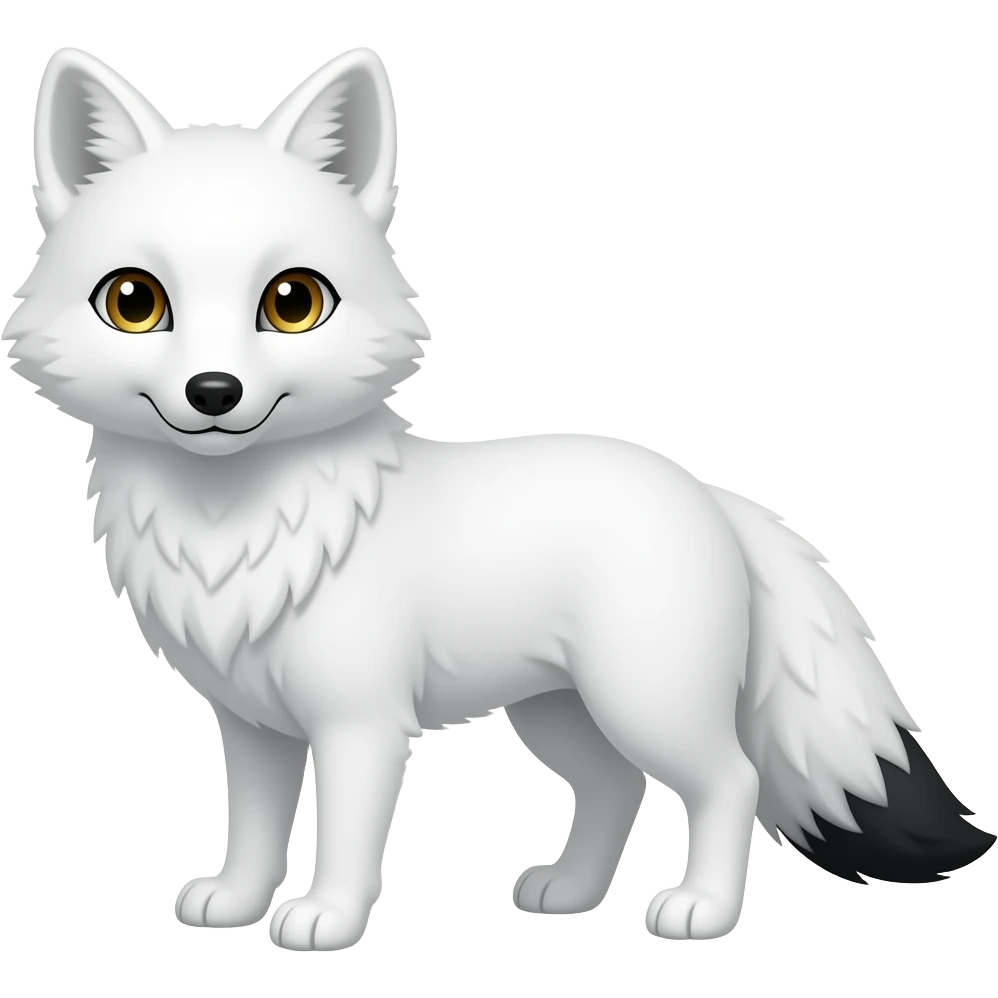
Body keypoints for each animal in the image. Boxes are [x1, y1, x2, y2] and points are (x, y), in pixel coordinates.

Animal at [6, 43, 993, 952]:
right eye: (134, 303)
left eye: (293, 303)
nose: (214, 393)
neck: (234, 529)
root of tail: (712, 494)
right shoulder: (252, 726)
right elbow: (253, 830)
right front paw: (235, 905)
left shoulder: (362, 723)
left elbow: (345, 838)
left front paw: (326, 919)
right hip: (557, 713)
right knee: (614, 787)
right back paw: (570, 893)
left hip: (645, 701)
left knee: (731, 781)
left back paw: (701, 912)